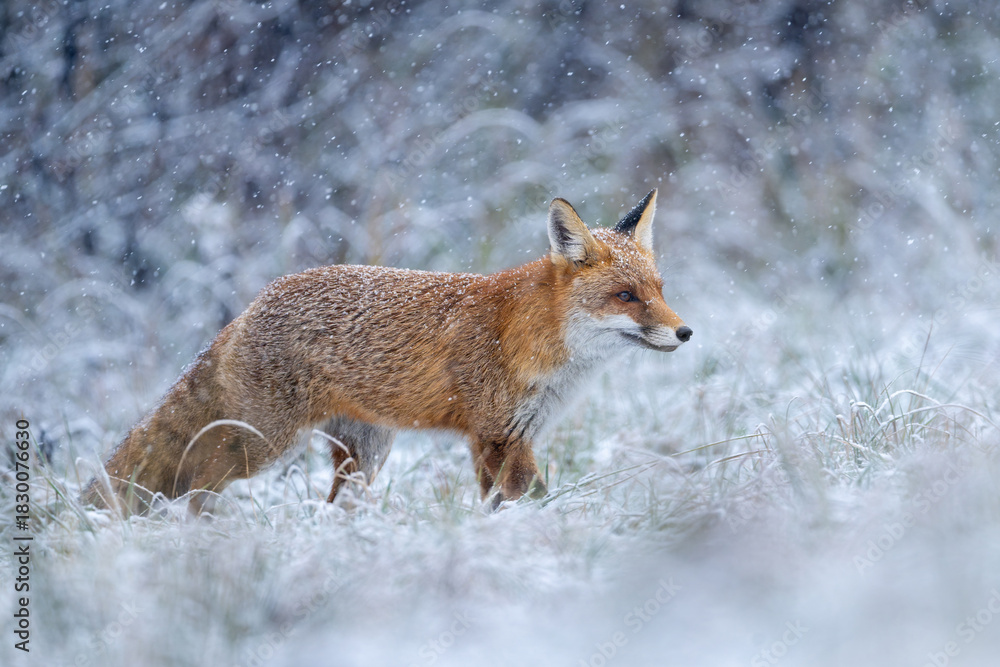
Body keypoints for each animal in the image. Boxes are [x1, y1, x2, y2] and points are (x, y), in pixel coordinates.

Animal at [82, 189, 691, 514]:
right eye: (626, 296)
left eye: (660, 290)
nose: (685, 333)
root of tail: (251, 305)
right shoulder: (494, 436)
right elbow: (522, 499)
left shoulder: (516, 436)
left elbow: (518, 497)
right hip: (260, 443)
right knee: (195, 477)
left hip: (365, 454)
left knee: (334, 507)